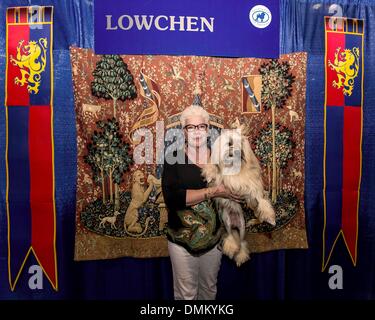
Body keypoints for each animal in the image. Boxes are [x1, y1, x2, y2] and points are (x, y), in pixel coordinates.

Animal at [203, 120, 276, 264]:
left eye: (241, 144)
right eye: (230, 143)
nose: (237, 151)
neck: (232, 167)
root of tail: (235, 222)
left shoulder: (252, 187)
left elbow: (261, 200)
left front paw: (270, 218)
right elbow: (212, 169)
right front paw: (209, 175)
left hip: (242, 227)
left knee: (241, 242)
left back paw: (240, 254)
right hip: (226, 221)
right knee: (231, 236)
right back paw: (232, 248)